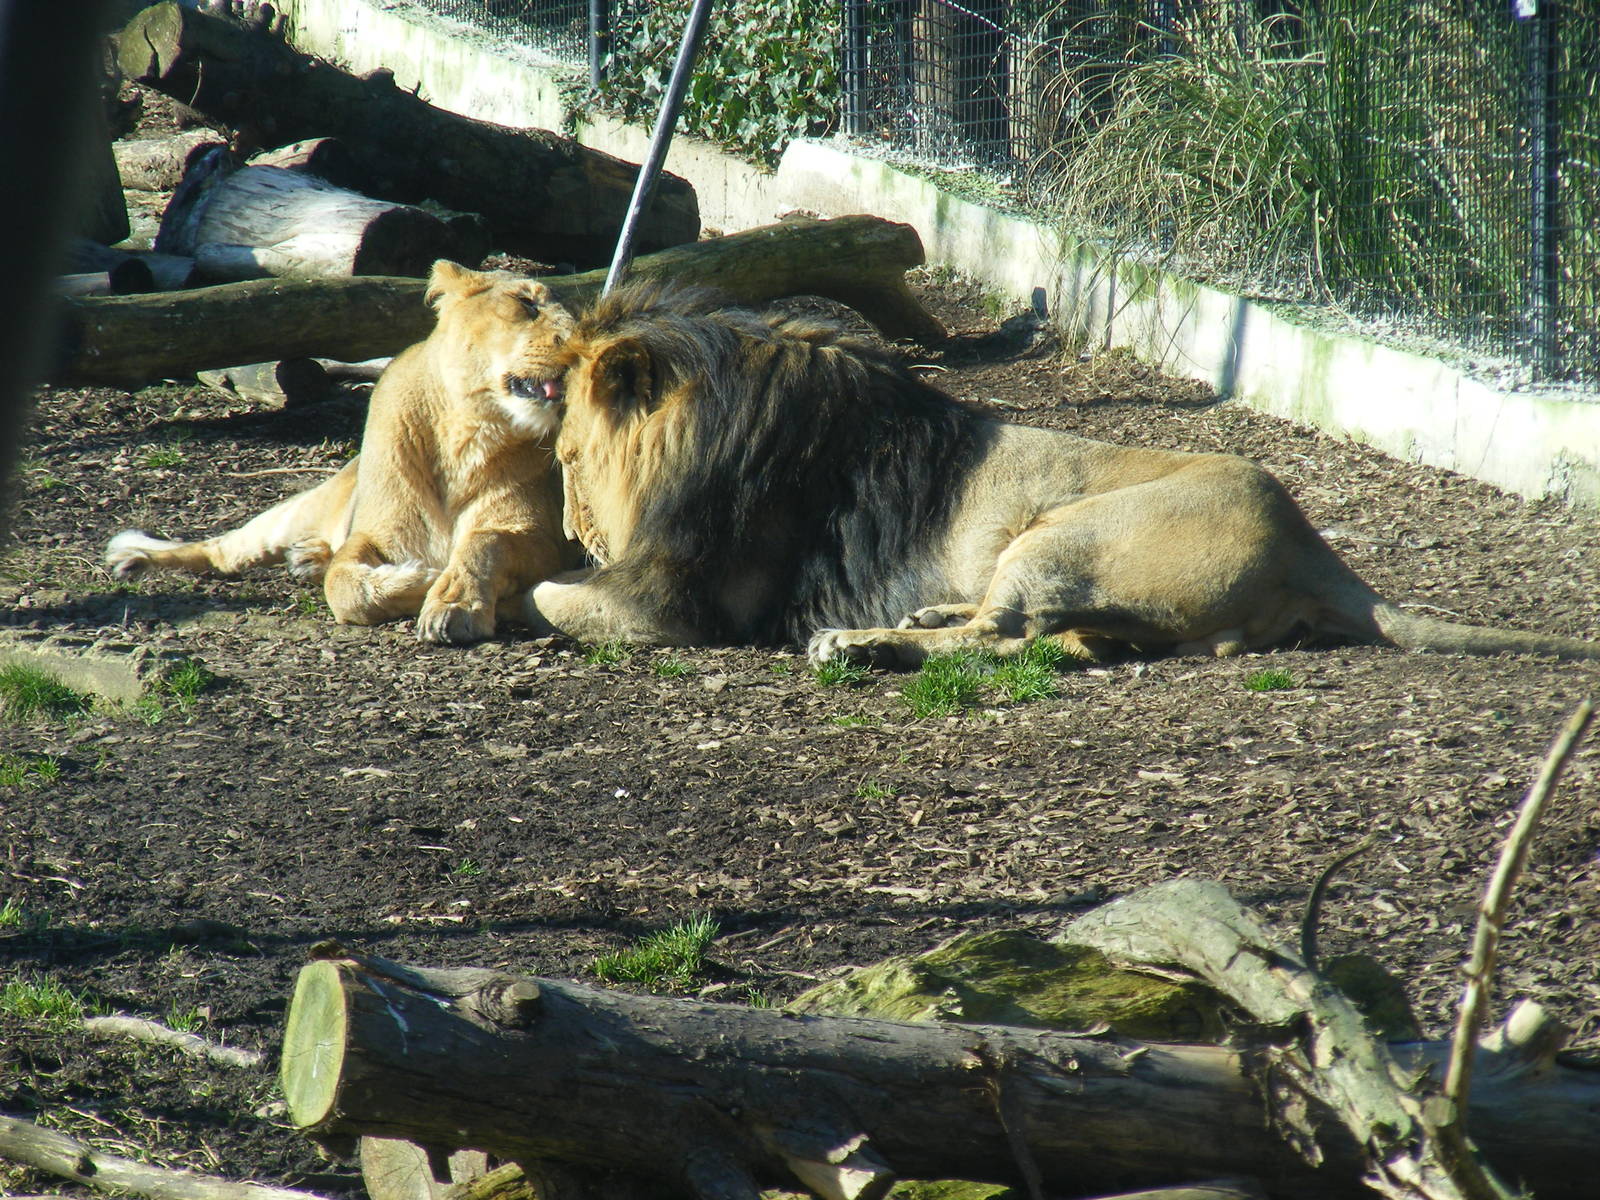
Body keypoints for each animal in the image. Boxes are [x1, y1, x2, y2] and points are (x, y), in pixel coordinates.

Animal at [106, 261, 577, 644]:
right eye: (526, 304)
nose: (580, 345)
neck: (468, 430)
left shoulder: (541, 538)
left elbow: (484, 542)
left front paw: (452, 603)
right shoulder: (374, 533)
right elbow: (344, 584)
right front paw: (420, 577)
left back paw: (306, 558)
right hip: (295, 512)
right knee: (220, 550)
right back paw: (133, 557)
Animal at [523, 283, 1600, 668]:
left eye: (566, 457)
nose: (577, 530)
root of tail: (1315, 548)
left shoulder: (682, 600)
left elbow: (548, 598)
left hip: (1059, 534)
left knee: (999, 639)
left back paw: (855, 644)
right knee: (1037, 640)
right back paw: (913, 620)